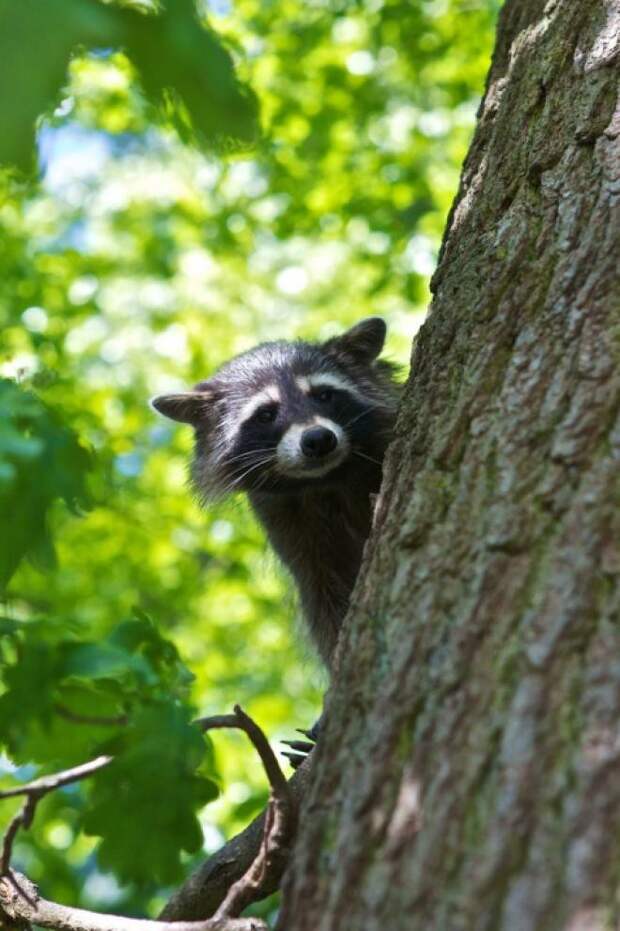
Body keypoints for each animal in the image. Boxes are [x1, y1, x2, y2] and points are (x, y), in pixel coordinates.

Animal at [153, 318, 400, 668]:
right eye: (266, 414)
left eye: (324, 395)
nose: (318, 439)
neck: (324, 481)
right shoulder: (295, 530)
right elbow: (324, 595)